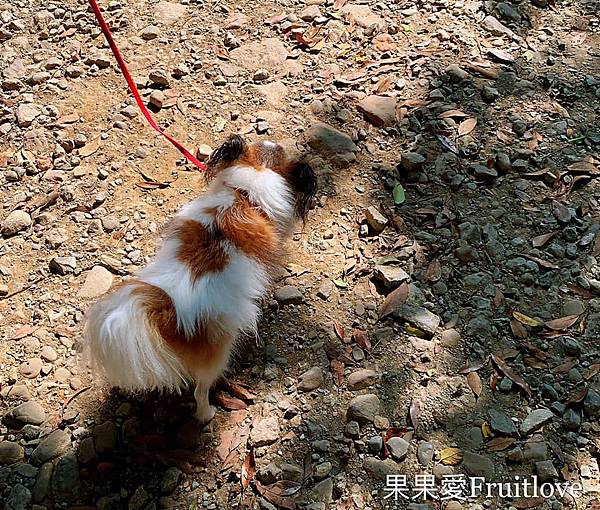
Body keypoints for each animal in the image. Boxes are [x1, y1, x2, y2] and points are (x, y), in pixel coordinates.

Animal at [85, 135, 318, 422]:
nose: (272, 141)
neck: (244, 196)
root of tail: (170, 310)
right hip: (220, 351)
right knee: (200, 390)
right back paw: (207, 414)